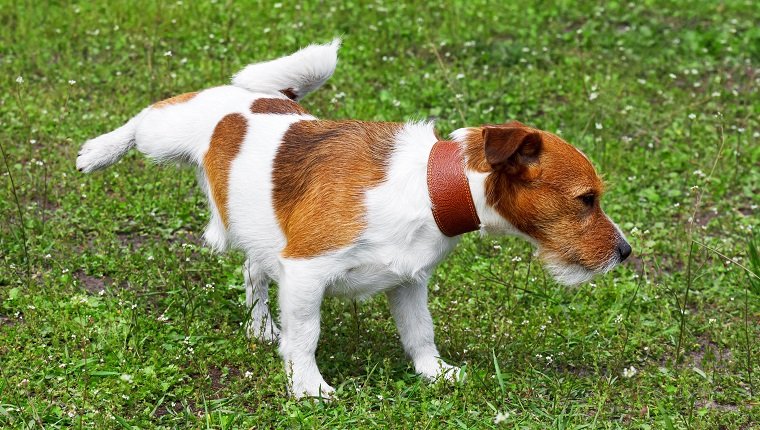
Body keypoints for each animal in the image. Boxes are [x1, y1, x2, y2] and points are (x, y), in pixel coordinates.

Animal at [77, 38, 632, 398]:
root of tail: (261, 96)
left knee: (254, 272)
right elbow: (306, 337)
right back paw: (97, 151)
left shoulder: (408, 283)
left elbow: (420, 334)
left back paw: (261, 326)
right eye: (586, 200)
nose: (626, 252)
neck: (428, 186)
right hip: (164, 134)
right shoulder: (305, 271)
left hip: (259, 229)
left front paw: (434, 373)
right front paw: (309, 387)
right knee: (144, 118)